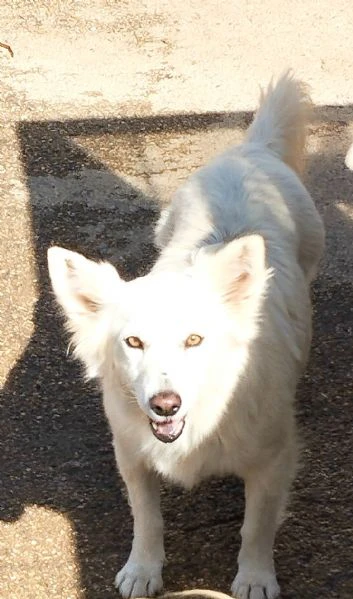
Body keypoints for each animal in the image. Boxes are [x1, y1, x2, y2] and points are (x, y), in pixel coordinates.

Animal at [47, 74, 324, 599]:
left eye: (195, 340)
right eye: (133, 343)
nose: (164, 405)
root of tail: (249, 150)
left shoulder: (274, 461)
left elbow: (256, 526)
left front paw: (255, 578)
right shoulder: (132, 454)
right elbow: (146, 518)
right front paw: (142, 569)